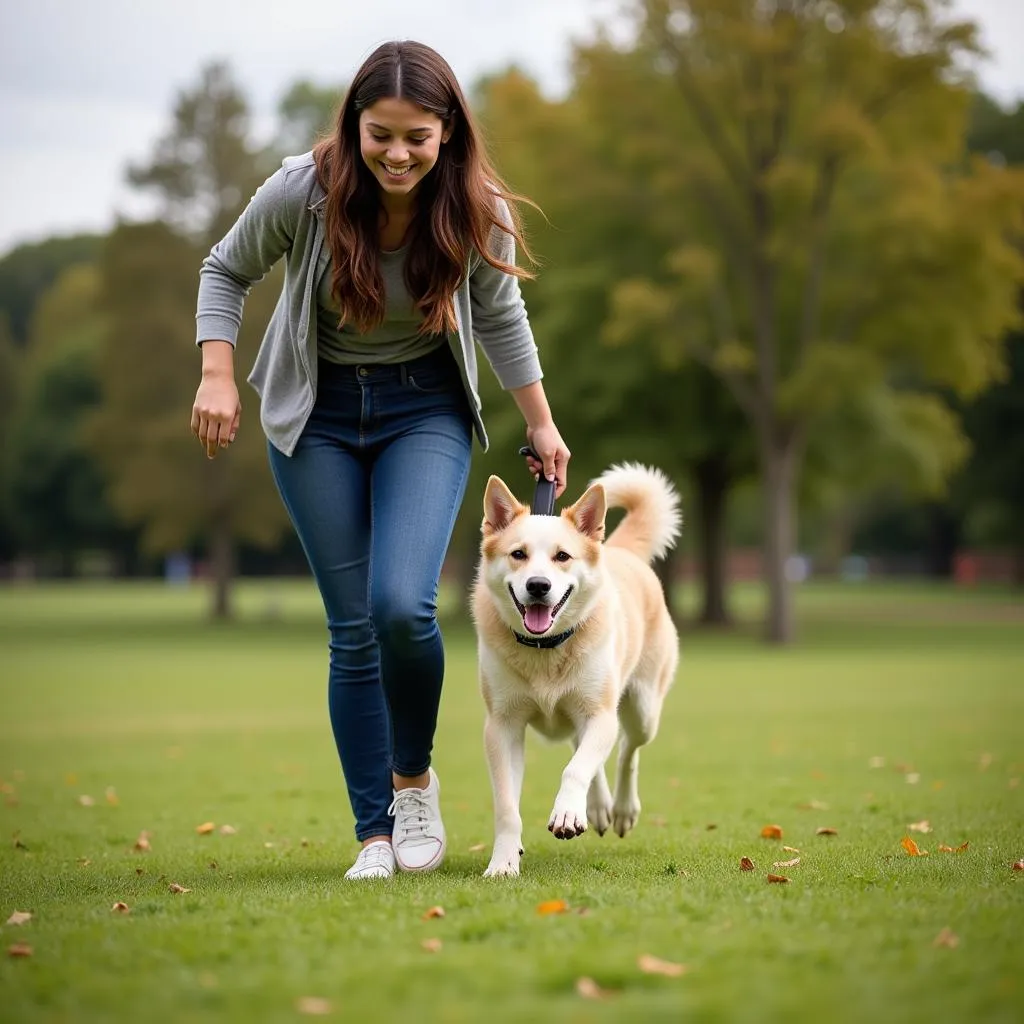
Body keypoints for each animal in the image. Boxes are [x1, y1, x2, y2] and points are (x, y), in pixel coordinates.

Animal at [468, 460, 679, 876]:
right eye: (518, 554)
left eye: (562, 557)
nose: (538, 585)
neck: (545, 649)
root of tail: (617, 549)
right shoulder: (502, 725)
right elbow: (507, 806)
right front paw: (503, 861)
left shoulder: (599, 713)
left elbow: (576, 769)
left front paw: (566, 813)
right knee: (586, 751)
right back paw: (596, 808)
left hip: (641, 707)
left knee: (627, 749)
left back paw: (620, 809)